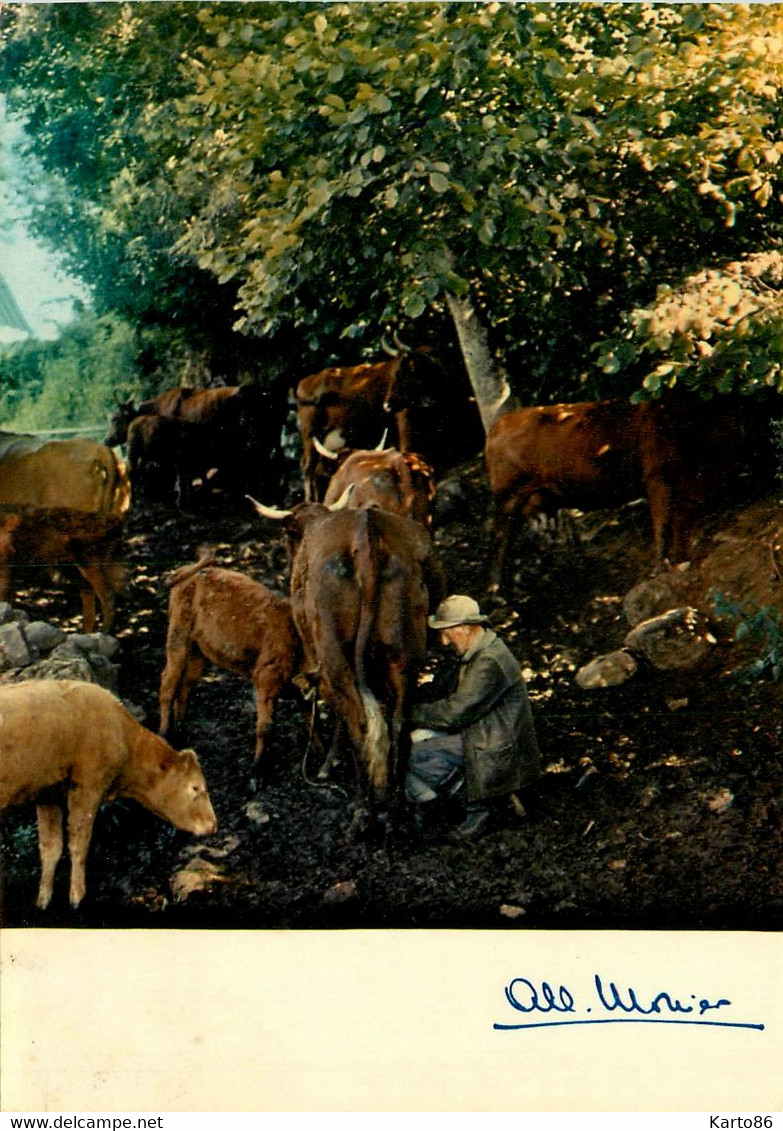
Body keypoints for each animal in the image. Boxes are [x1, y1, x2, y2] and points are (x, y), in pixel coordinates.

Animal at [0, 674, 217, 904]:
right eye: (195, 787)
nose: (214, 824)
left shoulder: (49, 794)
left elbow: (51, 848)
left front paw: (43, 901)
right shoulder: (87, 787)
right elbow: (79, 844)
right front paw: (77, 898)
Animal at [157, 554, 303, 787]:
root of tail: (183, 572)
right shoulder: (266, 678)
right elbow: (265, 726)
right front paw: (256, 774)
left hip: (198, 651)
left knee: (185, 684)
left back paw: (181, 733)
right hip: (178, 637)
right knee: (168, 683)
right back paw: (164, 735)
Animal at [251, 495, 445, 832]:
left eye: (288, 536)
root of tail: (366, 532)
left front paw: (328, 763)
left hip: (335, 655)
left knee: (360, 722)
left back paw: (364, 812)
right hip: (404, 654)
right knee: (399, 723)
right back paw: (396, 810)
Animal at [484, 395, 760, 588]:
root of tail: (499, 424)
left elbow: (679, 522)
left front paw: (680, 559)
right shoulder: (657, 480)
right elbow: (663, 525)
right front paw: (660, 566)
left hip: (535, 499)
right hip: (507, 498)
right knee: (500, 539)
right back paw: (497, 588)